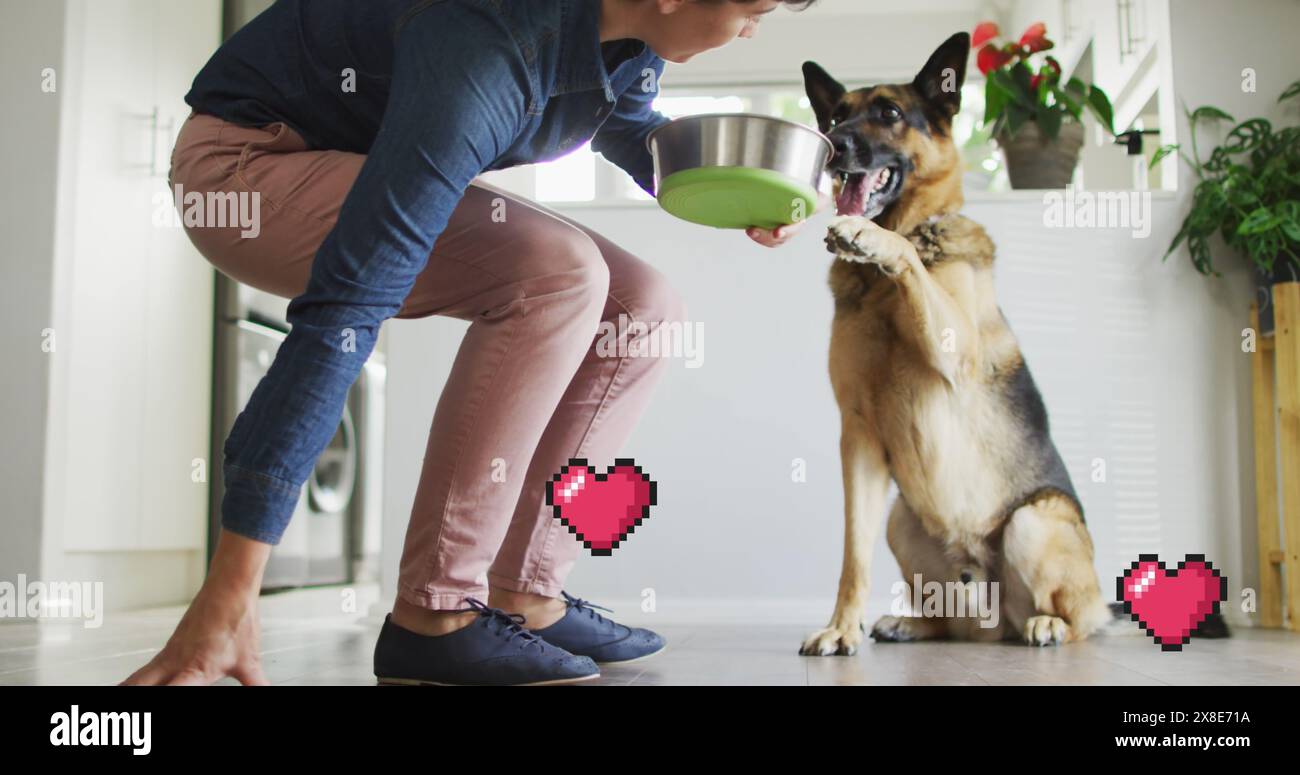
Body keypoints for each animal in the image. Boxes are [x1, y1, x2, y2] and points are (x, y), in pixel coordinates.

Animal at [795, 34, 1112, 652]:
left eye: (890, 113)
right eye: (837, 116)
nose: (834, 146)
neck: (881, 289)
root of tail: (995, 617)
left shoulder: (955, 348)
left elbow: (906, 253)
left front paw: (874, 237)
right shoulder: (858, 435)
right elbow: (852, 556)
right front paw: (842, 628)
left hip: (1034, 521)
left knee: (1082, 620)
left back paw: (1049, 624)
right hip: (901, 520)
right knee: (952, 620)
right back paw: (910, 623)